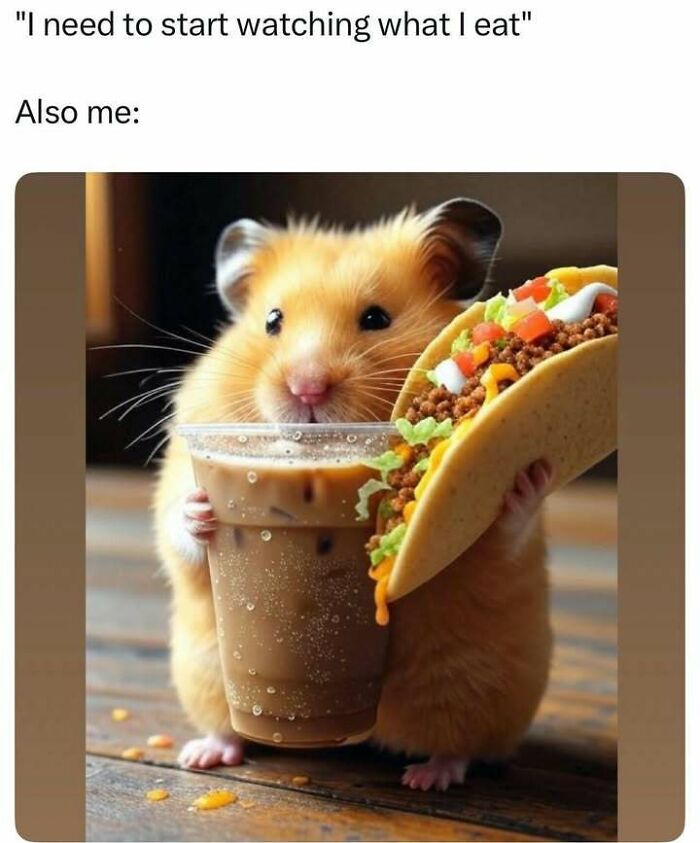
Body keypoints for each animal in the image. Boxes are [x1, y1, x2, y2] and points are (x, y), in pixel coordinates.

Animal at [154, 197, 552, 790]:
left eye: (376, 318)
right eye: (272, 321)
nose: (307, 389)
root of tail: (367, 735)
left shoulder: (487, 548)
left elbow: (497, 536)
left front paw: (526, 479)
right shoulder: (186, 458)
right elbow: (177, 529)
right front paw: (199, 510)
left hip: (474, 683)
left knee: (463, 746)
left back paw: (427, 777)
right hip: (206, 673)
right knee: (227, 728)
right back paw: (204, 754)